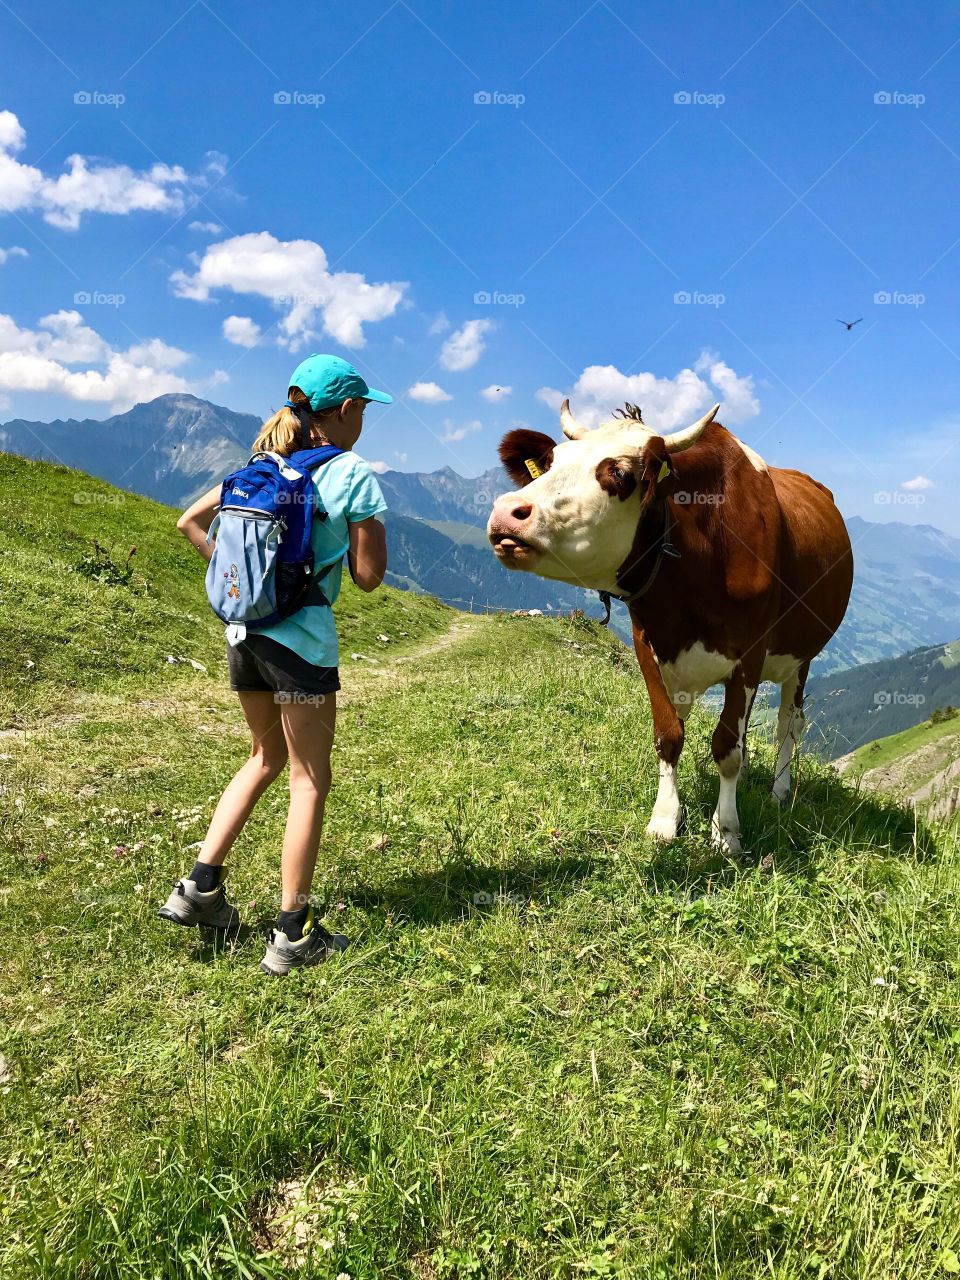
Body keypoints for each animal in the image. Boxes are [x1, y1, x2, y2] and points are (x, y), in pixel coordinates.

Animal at [486, 400, 853, 855]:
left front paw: (726, 831)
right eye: (551, 462)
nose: (507, 512)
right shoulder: (648, 643)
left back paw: (779, 792)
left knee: (789, 722)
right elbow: (670, 735)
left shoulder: (751, 653)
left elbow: (726, 747)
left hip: (801, 658)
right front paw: (664, 819)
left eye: (618, 474)